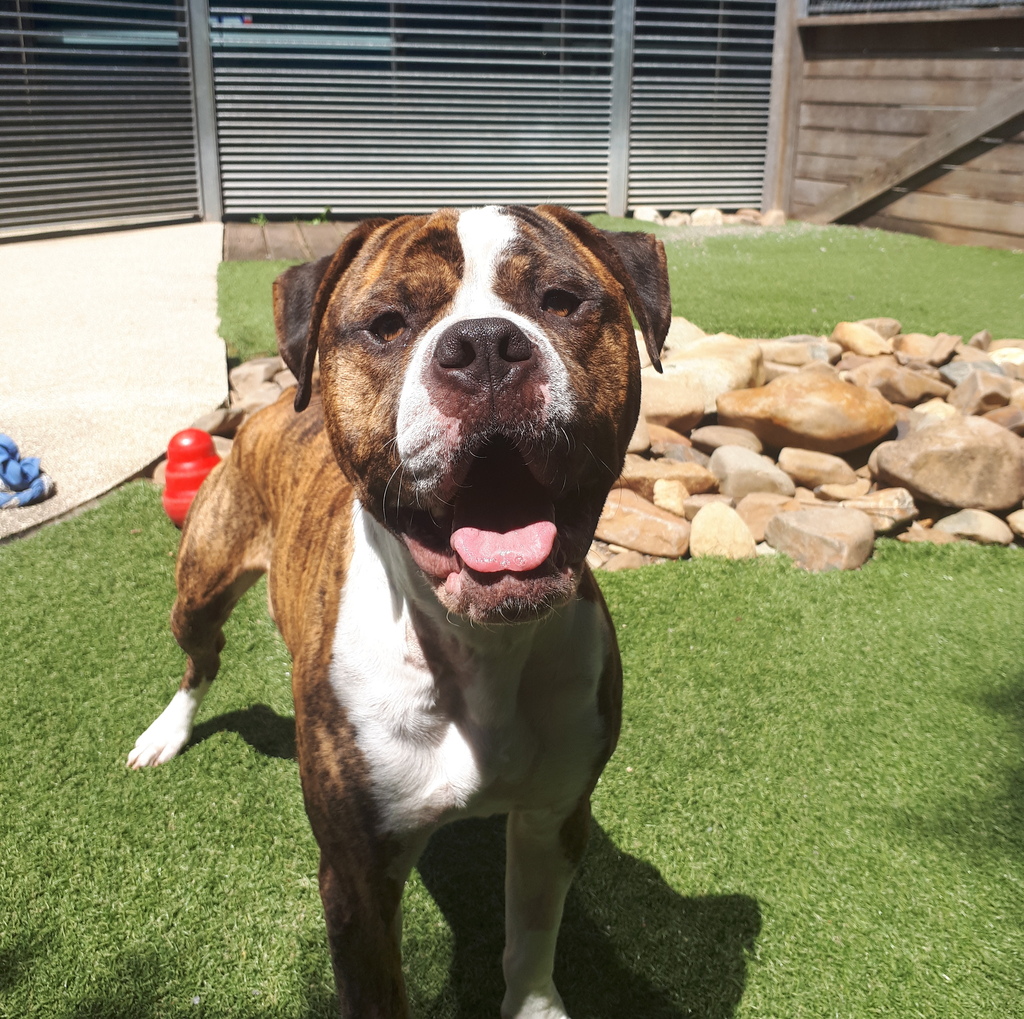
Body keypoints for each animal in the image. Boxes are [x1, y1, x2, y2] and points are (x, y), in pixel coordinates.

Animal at [128, 204, 670, 1018]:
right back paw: (167, 731)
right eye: (388, 322)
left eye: (561, 302)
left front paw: (534, 1003)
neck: (476, 645)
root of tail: (269, 407)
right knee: (202, 660)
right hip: (199, 589)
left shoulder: (553, 821)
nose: (485, 346)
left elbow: (530, 941)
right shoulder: (358, 879)